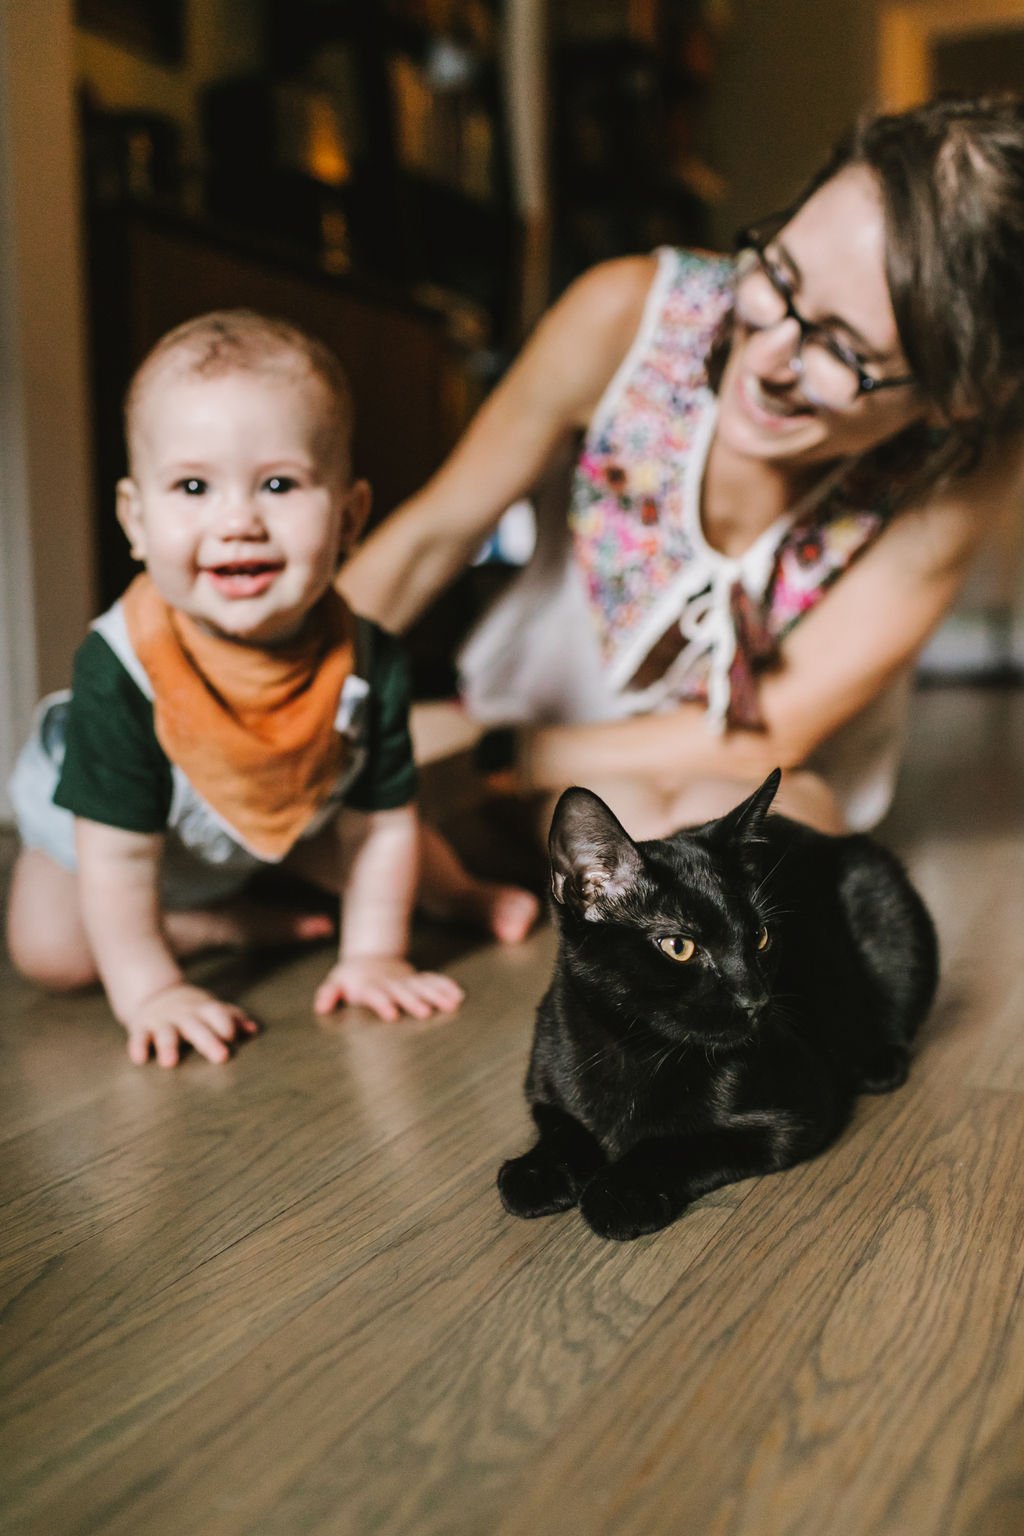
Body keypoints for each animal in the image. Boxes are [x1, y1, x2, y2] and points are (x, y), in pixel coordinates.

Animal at [500, 774, 939, 1241]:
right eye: (678, 946)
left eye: (761, 937)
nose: (756, 1000)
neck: (635, 1049)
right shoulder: (543, 1083)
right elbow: (561, 1124)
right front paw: (536, 1171)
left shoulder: (797, 1111)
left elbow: (678, 1144)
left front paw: (620, 1190)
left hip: (879, 892)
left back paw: (875, 1060)